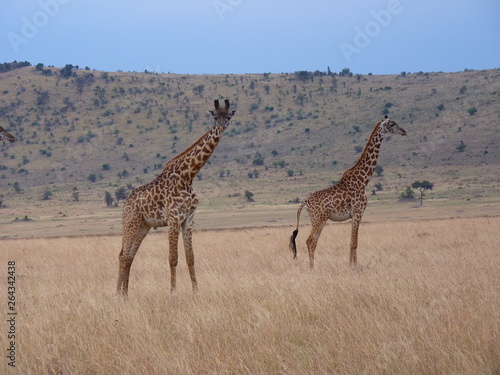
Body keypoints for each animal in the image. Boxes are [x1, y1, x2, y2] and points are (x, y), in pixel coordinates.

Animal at [117, 99, 236, 296]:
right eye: (214, 117)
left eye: (228, 117)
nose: (221, 127)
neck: (188, 175)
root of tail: (125, 203)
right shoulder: (173, 218)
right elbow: (173, 257)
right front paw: (173, 293)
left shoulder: (188, 219)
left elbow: (190, 257)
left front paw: (196, 291)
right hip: (131, 221)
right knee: (123, 255)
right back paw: (118, 294)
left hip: (144, 226)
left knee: (129, 256)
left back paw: (125, 294)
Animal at [290, 117, 406, 270]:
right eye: (392, 124)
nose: (404, 131)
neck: (363, 180)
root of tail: (305, 201)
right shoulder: (358, 212)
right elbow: (354, 243)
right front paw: (353, 267)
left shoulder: (353, 215)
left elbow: (353, 242)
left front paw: (352, 265)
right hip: (319, 218)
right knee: (311, 241)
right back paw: (312, 269)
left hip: (315, 219)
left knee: (309, 241)